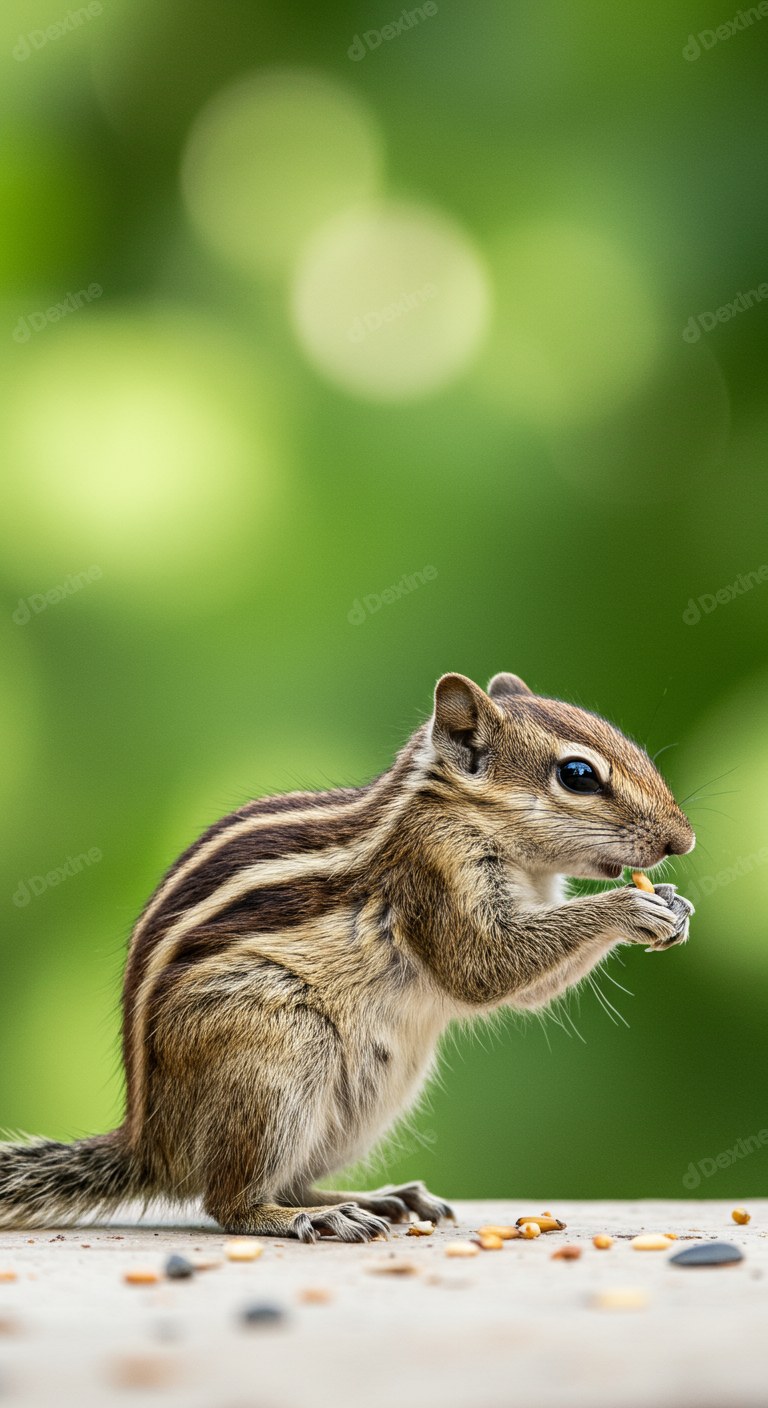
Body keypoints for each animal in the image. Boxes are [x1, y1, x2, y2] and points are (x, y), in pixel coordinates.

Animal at [0, 671, 695, 1239]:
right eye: (578, 775)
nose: (683, 842)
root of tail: (151, 1143)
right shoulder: (435, 872)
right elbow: (484, 968)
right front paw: (630, 908)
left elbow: (525, 986)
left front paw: (672, 903)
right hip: (279, 1051)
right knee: (227, 1201)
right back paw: (307, 1217)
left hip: (374, 1092)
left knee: (286, 1179)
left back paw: (375, 1200)